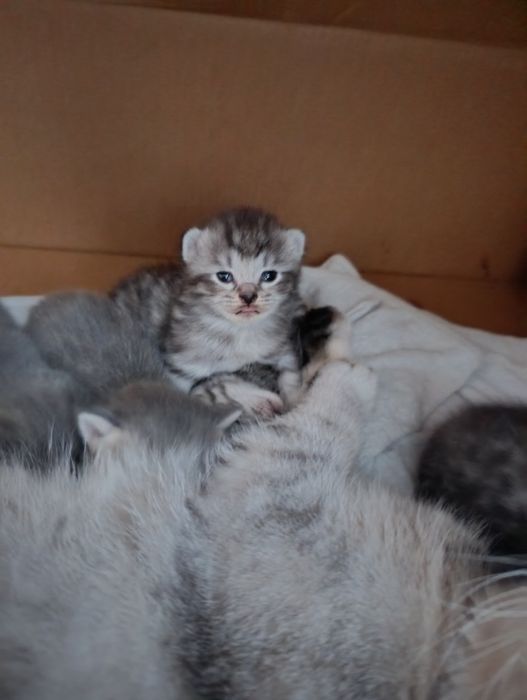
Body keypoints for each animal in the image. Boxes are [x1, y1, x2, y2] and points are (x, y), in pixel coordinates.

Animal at [111, 207, 306, 415]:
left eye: (269, 275)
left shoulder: (282, 347)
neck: (239, 333)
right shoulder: (182, 366)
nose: (248, 296)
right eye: (224, 276)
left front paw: (294, 402)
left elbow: (291, 373)